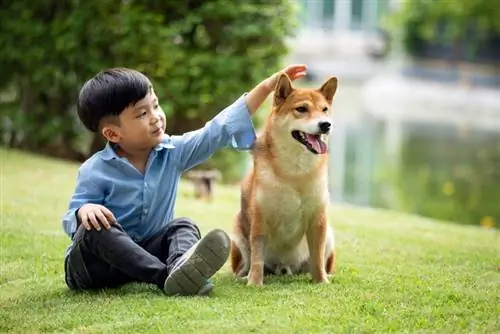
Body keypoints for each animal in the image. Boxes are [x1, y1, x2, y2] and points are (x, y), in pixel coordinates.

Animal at [229, 72, 338, 284]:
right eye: (301, 109)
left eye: (324, 110)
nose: (325, 124)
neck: (294, 173)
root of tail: (283, 268)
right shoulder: (261, 218)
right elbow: (257, 259)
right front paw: (255, 283)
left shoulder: (318, 219)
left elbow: (318, 258)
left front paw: (321, 281)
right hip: (238, 231)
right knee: (246, 263)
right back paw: (243, 276)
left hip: (329, 234)